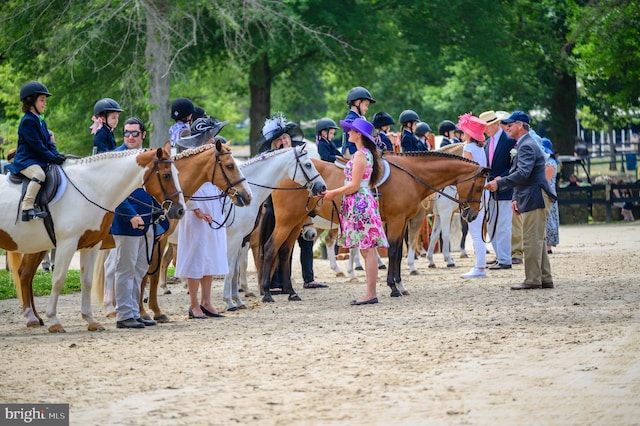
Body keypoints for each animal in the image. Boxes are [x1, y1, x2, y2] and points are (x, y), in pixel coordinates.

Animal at [4, 150, 185, 332]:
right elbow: (58, 280)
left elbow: (87, 281)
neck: (89, 189)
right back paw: (32, 318)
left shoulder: (90, 244)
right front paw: (54, 321)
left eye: (177, 173)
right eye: (166, 175)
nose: (180, 210)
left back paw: (36, 317)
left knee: (26, 275)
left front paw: (91, 320)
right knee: (25, 274)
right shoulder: (67, 244)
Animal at [252, 151, 488, 302]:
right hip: (287, 222)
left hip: (298, 222)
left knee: (284, 253)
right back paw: (268, 293)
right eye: (478, 187)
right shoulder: (397, 220)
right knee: (271, 248)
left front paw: (400, 285)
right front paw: (394, 287)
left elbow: (397, 252)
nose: (472, 214)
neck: (409, 175)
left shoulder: (400, 221)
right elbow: (394, 251)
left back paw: (291, 293)